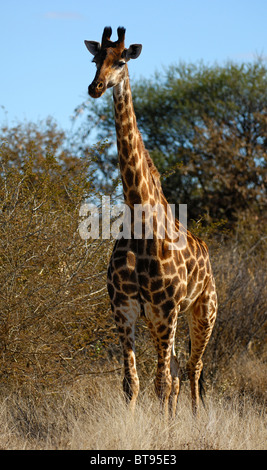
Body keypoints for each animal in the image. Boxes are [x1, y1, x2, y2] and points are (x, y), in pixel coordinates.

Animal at [85, 26, 219, 414]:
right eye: (95, 59)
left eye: (122, 61)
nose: (96, 87)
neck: (140, 222)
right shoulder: (125, 310)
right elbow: (132, 383)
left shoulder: (164, 310)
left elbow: (160, 383)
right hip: (165, 321)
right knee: (176, 373)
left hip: (203, 311)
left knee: (191, 369)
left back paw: (195, 417)